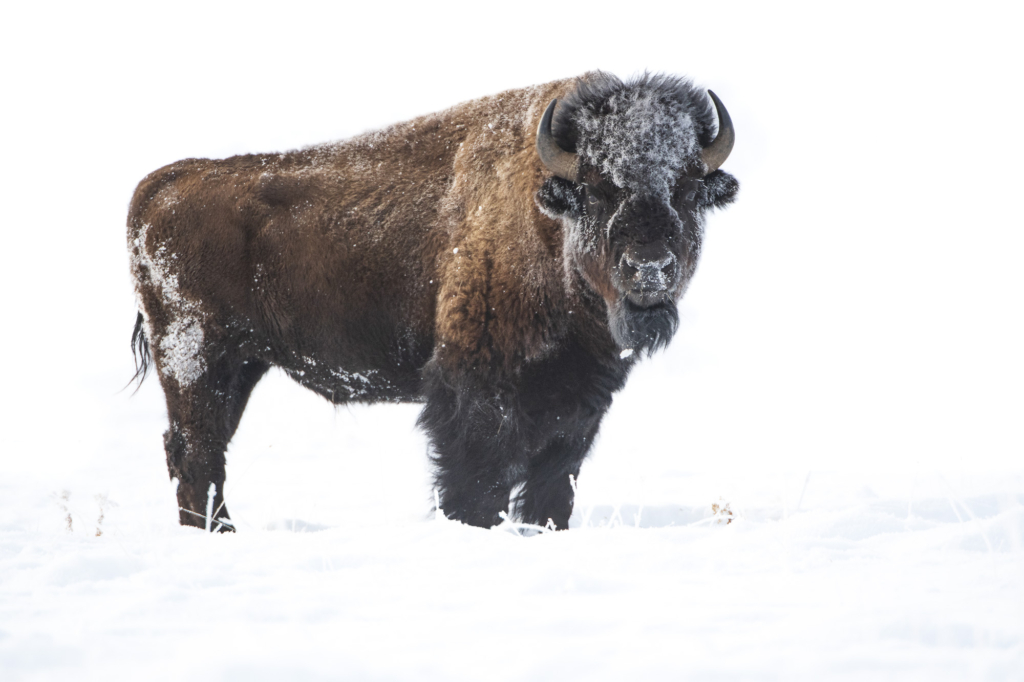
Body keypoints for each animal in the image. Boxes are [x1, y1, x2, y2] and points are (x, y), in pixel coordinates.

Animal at [125, 73, 737, 532]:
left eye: (688, 188)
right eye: (597, 188)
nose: (650, 267)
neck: (546, 218)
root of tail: (158, 186)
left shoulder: (577, 408)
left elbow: (550, 489)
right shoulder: (475, 392)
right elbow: (476, 484)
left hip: (241, 365)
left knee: (200, 451)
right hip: (195, 359)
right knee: (197, 451)